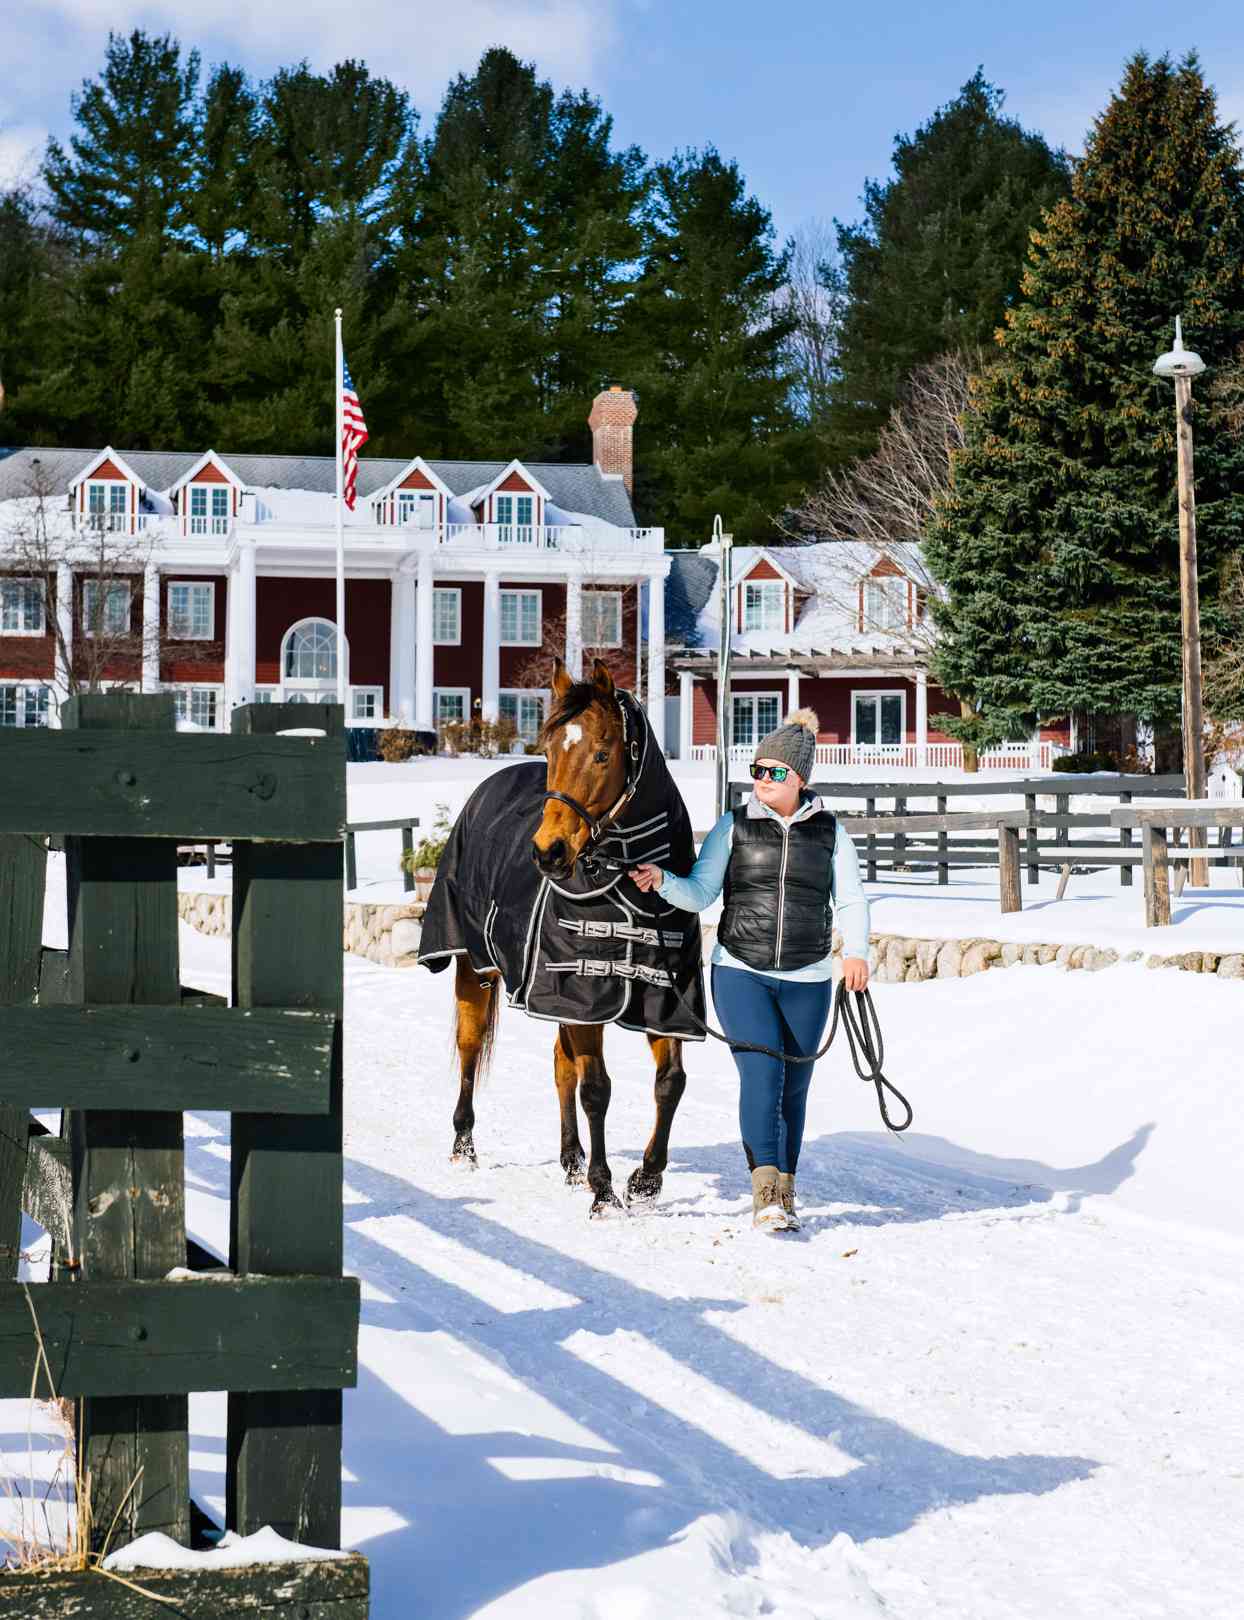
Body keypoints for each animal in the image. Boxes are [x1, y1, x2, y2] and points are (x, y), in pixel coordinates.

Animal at [434, 657, 690, 1218]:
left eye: (602, 752)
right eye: (549, 749)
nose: (547, 851)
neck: (630, 884)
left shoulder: (658, 1000)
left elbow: (669, 1083)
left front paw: (646, 1179)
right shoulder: (581, 998)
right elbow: (597, 1088)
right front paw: (604, 1189)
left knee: (560, 1066)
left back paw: (571, 1159)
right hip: (474, 967)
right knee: (470, 1048)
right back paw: (464, 1144)